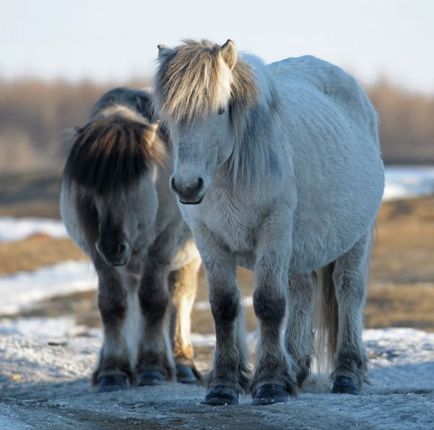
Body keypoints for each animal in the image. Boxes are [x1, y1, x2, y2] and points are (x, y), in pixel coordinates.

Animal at [153, 38, 384, 404]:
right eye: (168, 115)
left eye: (220, 110)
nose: (188, 185)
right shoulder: (208, 239)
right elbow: (224, 307)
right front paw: (223, 385)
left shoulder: (273, 232)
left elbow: (268, 304)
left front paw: (271, 382)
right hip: (299, 247)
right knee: (303, 290)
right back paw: (297, 369)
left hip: (353, 241)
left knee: (348, 290)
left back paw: (346, 374)